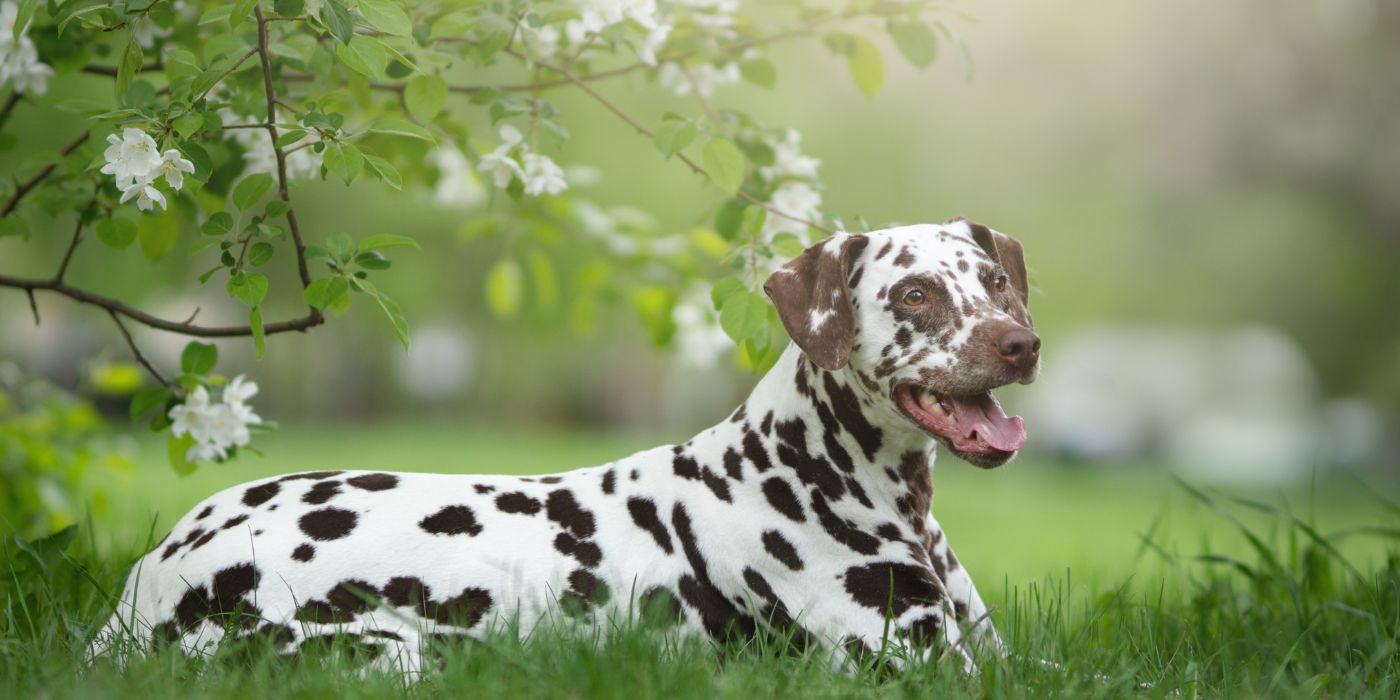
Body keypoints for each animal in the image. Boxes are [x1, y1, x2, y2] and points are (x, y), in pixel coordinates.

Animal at [90, 217, 1041, 672]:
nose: (1020, 344)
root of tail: (146, 582)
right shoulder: (923, 670)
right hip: (391, 654)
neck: (812, 465)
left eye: (996, 281)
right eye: (915, 294)